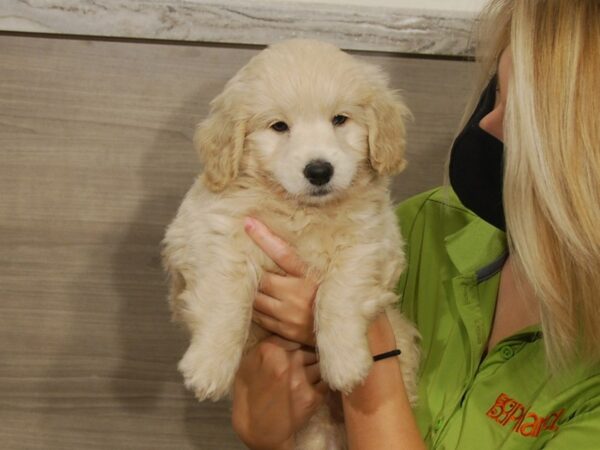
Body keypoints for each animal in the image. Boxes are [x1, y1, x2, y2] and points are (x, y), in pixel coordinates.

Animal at [162, 40, 420, 448]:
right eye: (279, 126)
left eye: (340, 120)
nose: (319, 170)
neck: (302, 210)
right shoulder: (213, 232)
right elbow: (225, 300)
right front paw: (208, 365)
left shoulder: (370, 241)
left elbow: (339, 295)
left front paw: (345, 362)